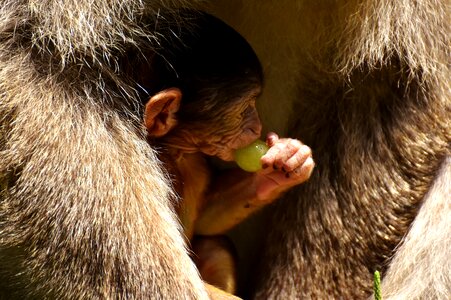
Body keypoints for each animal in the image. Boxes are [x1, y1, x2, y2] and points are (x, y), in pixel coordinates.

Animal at [140, 11, 314, 296]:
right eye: (245, 108)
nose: (257, 126)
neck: (172, 152)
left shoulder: (194, 160)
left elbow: (205, 220)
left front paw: (283, 164)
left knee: (215, 247)